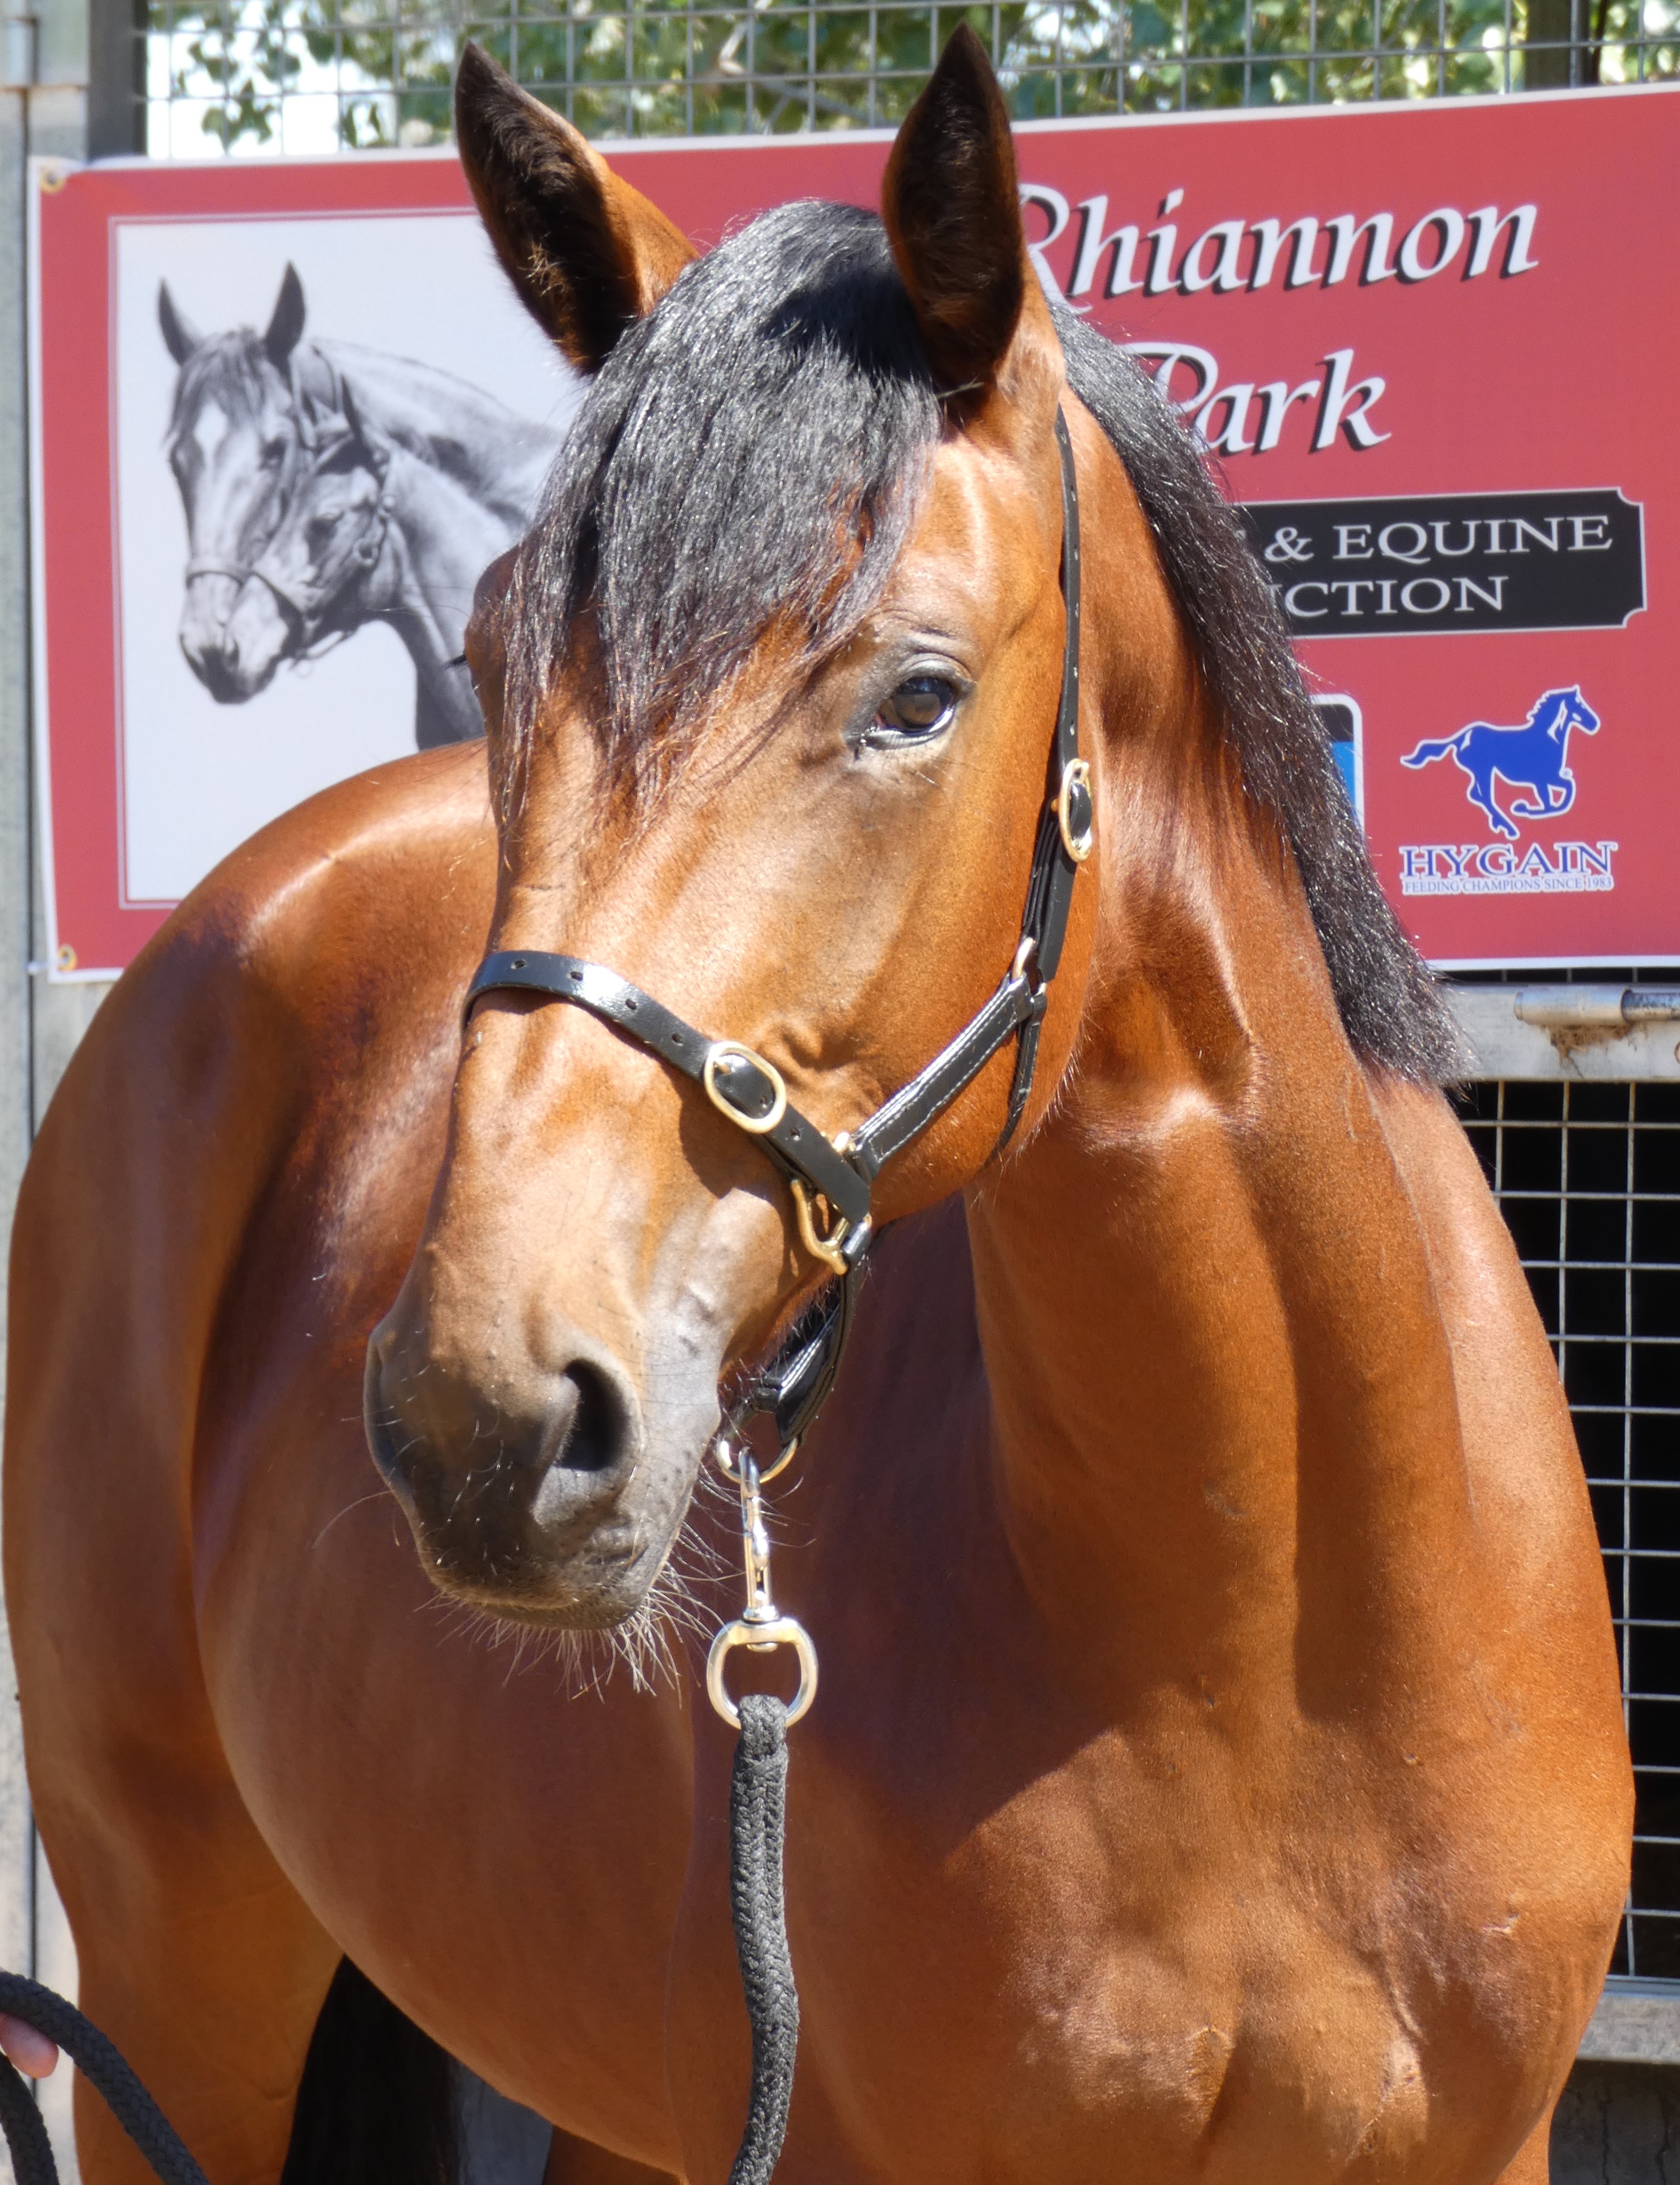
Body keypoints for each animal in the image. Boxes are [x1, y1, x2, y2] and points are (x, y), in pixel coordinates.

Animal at [1400, 686, 1601, 840]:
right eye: (1580, 705)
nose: (1594, 723)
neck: (1550, 738)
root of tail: (1463, 736)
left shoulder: (1547, 779)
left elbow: (1566, 789)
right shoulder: (1541, 779)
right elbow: (1557, 796)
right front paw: (1525, 808)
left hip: (1481, 772)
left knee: (1475, 794)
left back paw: (1501, 823)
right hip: (1484, 770)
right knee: (1485, 797)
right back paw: (1509, 827)